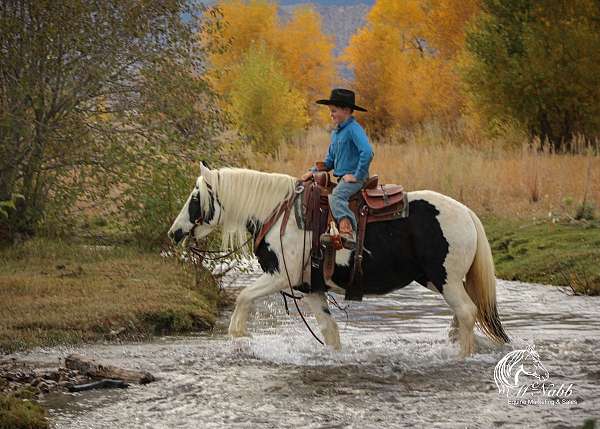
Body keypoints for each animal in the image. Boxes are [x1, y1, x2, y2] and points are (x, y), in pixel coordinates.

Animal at [169, 162, 510, 356]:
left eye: (195, 197)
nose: (174, 233)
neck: (279, 214)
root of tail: (467, 213)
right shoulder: (310, 288)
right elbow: (329, 331)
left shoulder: (280, 276)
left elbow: (243, 297)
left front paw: (238, 336)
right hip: (440, 281)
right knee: (461, 317)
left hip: (446, 280)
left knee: (466, 313)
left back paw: (462, 357)